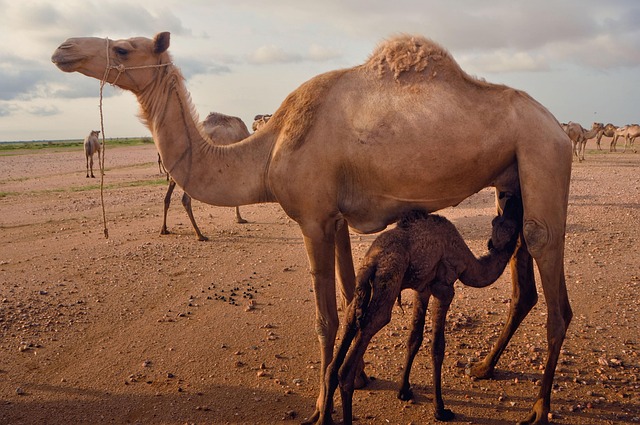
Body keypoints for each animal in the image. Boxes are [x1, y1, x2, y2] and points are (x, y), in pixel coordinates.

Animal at [321, 197, 522, 424]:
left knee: (346, 329)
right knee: (361, 344)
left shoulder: (422, 289)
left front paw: (404, 391)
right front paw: (440, 409)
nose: (512, 199)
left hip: (363, 284)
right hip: (389, 277)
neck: (468, 263)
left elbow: (414, 338)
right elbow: (437, 347)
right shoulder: (444, 288)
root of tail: (373, 261)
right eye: (511, 221)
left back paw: (324, 415)